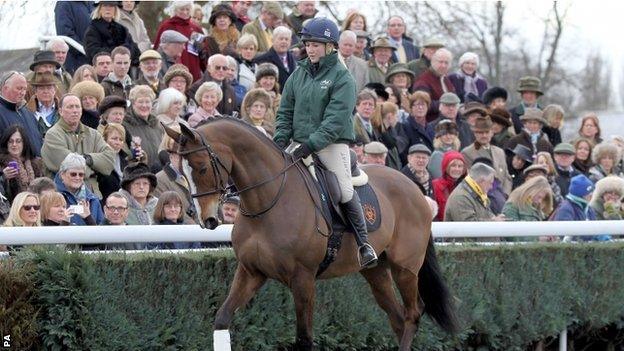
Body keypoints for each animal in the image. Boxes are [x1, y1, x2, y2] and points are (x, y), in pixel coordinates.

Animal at [165, 119, 458, 351]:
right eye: (182, 171)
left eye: (202, 167)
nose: (205, 219)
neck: (267, 202)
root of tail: (414, 188)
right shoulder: (251, 272)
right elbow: (222, 319)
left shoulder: (303, 279)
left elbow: (304, 339)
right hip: (376, 272)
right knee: (397, 318)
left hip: (405, 268)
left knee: (412, 315)